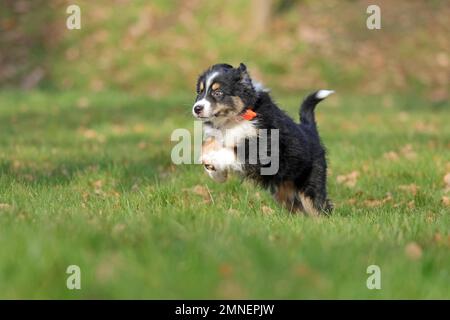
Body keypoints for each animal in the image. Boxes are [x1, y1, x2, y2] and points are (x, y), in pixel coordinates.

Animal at [193, 62, 334, 215]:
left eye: (218, 92)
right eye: (200, 92)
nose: (197, 108)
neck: (235, 119)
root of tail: (310, 130)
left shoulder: (262, 151)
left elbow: (231, 152)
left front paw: (212, 162)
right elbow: (207, 144)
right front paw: (216, 173)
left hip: (311, 185)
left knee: (320, 208)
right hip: (284, 191)